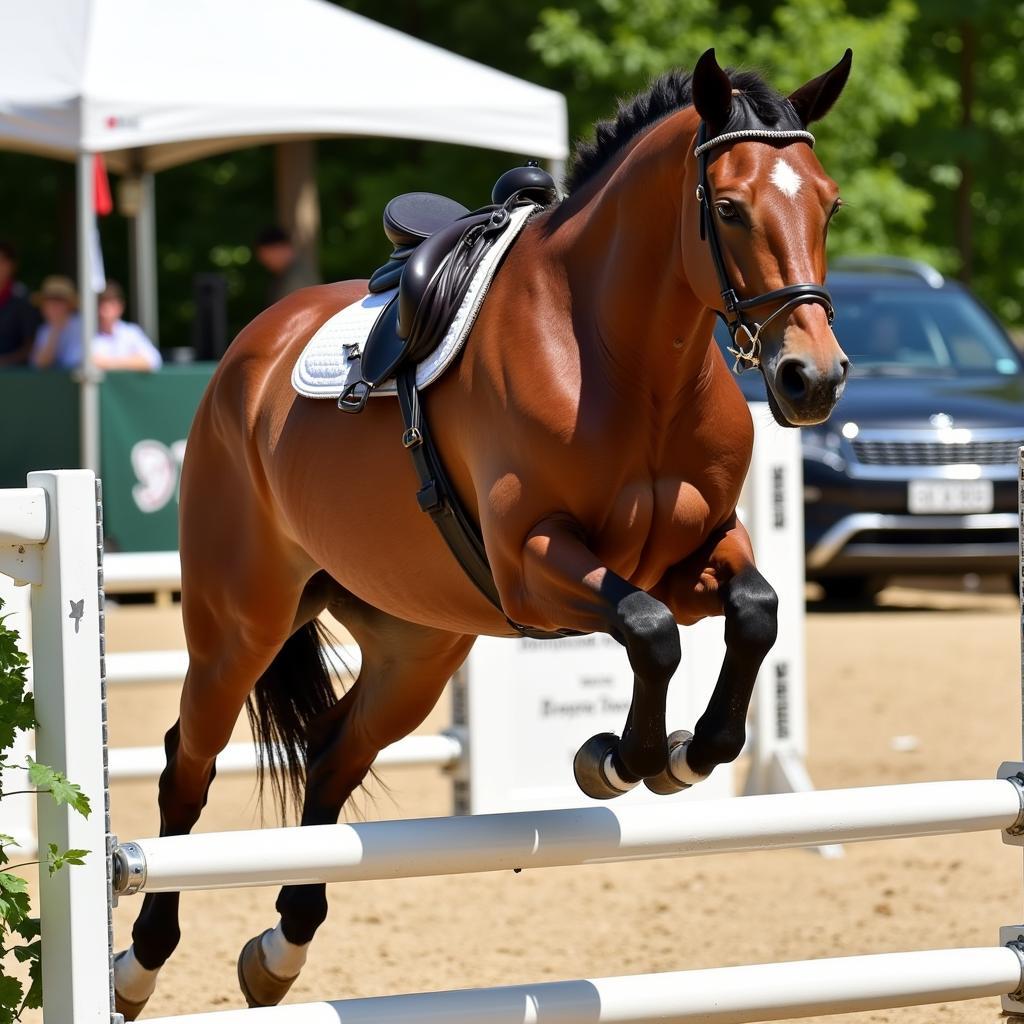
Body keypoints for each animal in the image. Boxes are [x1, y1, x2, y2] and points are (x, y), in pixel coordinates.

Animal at [112, 48, 851, 1015]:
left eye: (828, 203)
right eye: (728, 207)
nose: (813, 379)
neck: (625, 358)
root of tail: (250, 350)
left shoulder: (690, 556)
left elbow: (755, 613)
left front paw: (692, 752)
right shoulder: (536, 564)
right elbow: (648, 631)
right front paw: (619, 760)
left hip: (415, 647)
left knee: (333, 752)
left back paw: (281, 947)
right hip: (240, 621)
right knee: (186, 765)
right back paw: (140, 961)